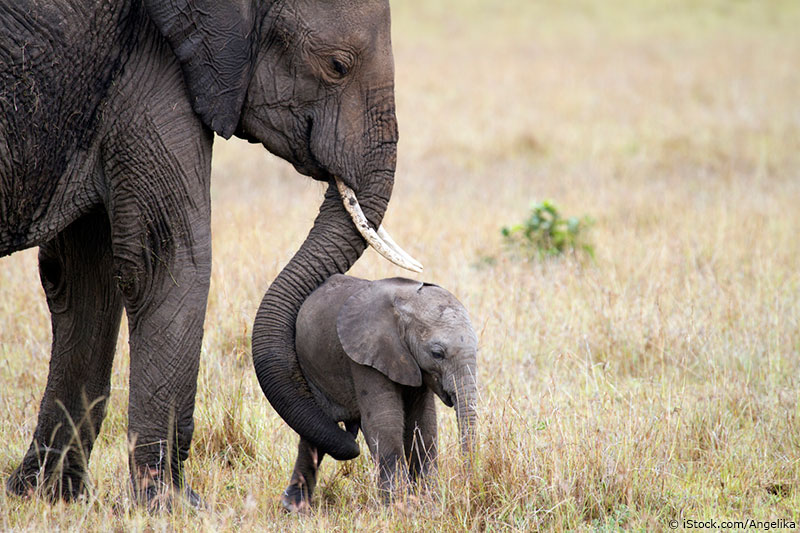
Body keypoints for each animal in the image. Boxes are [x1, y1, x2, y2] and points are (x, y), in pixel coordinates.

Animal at [0, 0, 422, 504]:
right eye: (337, 66)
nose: (349, 436)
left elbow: (84, 274)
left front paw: (46, 497)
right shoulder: (151, 64)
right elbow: (170, 258)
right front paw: (173, 503)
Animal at [284, 272, 478, 510]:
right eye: (437, 354)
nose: (468, 485)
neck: (405, 302)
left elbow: (423, 424)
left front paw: (428, 502)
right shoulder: (366, 354)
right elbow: (385, 423)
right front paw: (399, 508)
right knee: (315, 429)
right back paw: (295, 508)